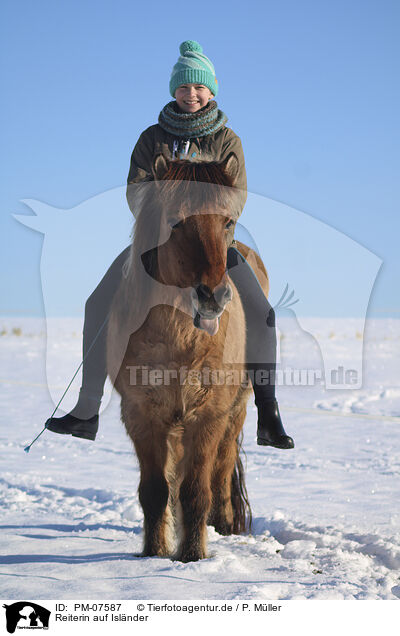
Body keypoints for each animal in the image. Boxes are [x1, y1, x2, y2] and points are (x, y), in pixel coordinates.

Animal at [106, 154, 268, 560]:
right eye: (174, 221)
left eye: (228, 220)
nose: (214, 296)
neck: (180, 339)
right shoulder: (142, 417)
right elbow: (155, 491)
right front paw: (154, 552)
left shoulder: (208, 417)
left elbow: (197, 490)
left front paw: (193, 555)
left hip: (235, 413)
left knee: (222, 471)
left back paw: (224, 524)